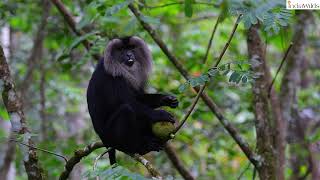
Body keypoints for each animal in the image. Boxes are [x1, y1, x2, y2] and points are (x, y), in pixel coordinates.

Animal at [86, 36, 179, 165]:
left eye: (131, 48)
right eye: (121, 49)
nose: (129, 54)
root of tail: (104, 141)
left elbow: (139, 97)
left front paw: (167, 99)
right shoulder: (113, 78)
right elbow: (130, 103)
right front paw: (160, 114)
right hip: (111, 137)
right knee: (126, 110)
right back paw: (138, 147)